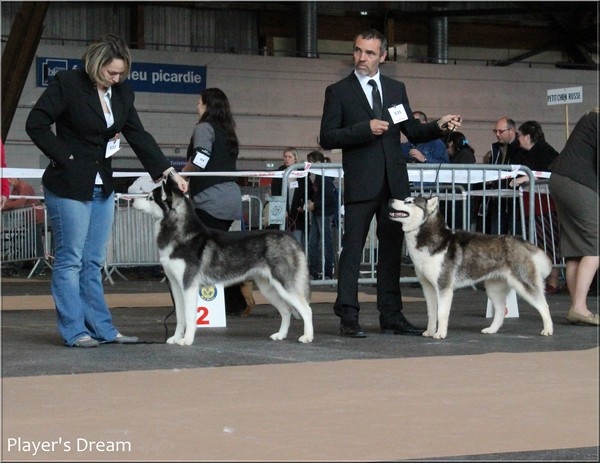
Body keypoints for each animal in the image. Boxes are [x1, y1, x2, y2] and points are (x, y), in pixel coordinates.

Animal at [133, 177, 313, 346]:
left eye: (150, 197)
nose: (133, 200)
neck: (181, 234)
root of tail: (291, 238)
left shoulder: (189, 285)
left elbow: (190, 316)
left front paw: (187, 339)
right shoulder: (176, 286)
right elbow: (180, 317)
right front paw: (177, 338)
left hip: (285, 285)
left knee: (306, 309)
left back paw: (307, 337)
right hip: (268, 288)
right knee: (286, 310)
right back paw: (281, 335)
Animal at [388, 195, 553, 339]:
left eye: (409, 202)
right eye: (405, 199)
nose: (390, 200)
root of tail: (518, 239)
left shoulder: (443, 286)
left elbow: (441, 313)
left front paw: (440, 333)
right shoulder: (427, 287)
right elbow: (432, 313)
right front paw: (429, 331)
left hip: (523, 284)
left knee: (544, 305)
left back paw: (548, 329)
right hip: (494, 289)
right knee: (500, 310)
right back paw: (491, 329)